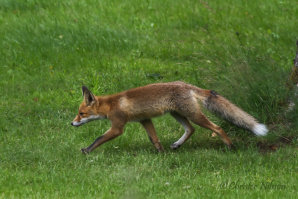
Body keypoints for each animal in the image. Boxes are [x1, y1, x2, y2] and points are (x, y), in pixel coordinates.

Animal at [71, 81, 268, 154]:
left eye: (81, 114)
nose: (72, 123)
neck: (112, 104)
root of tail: (187, 85)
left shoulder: (118, 126)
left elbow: (98, 138)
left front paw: (87, 150)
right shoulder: (145, 120)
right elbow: (154, 139)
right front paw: (161, 153)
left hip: (192, 115)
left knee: (217, 127)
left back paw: (230, 146)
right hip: (178, 114)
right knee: (191, 129)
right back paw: (177, 145)